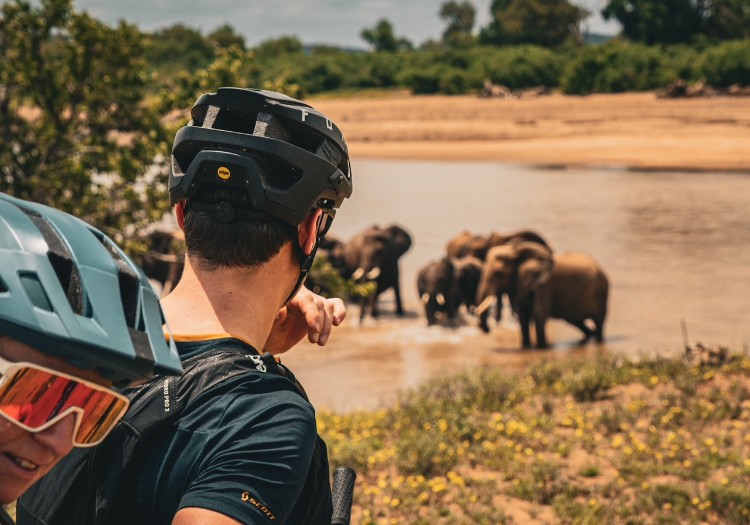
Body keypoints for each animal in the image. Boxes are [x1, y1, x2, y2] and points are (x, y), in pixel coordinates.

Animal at [476, 241, 609, 349]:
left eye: (498, 274)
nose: (488, 330)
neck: (516, 250)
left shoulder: (544, 285)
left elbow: (539, 314)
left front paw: (542, 347)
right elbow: (523, 314)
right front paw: (526, 347)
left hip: (602, 293)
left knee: (599, 323)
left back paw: (598, 340)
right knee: (577, 322)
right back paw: (589, 335)